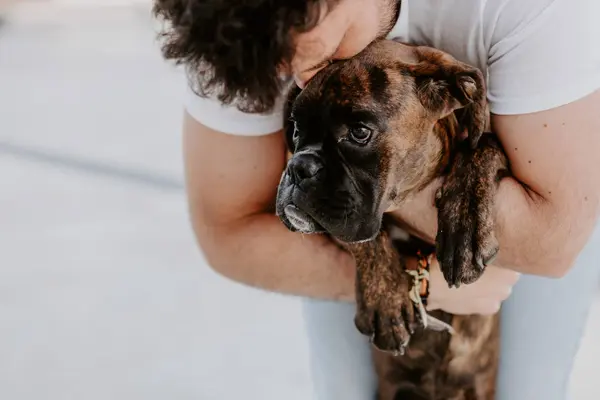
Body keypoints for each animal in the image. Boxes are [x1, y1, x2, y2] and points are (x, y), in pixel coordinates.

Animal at [274, 38, 508, 400]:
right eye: (296, 129)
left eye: (359, 132)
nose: (299, 167)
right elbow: (364, 239)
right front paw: (384, 298)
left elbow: (482, 143)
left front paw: (465, 224)